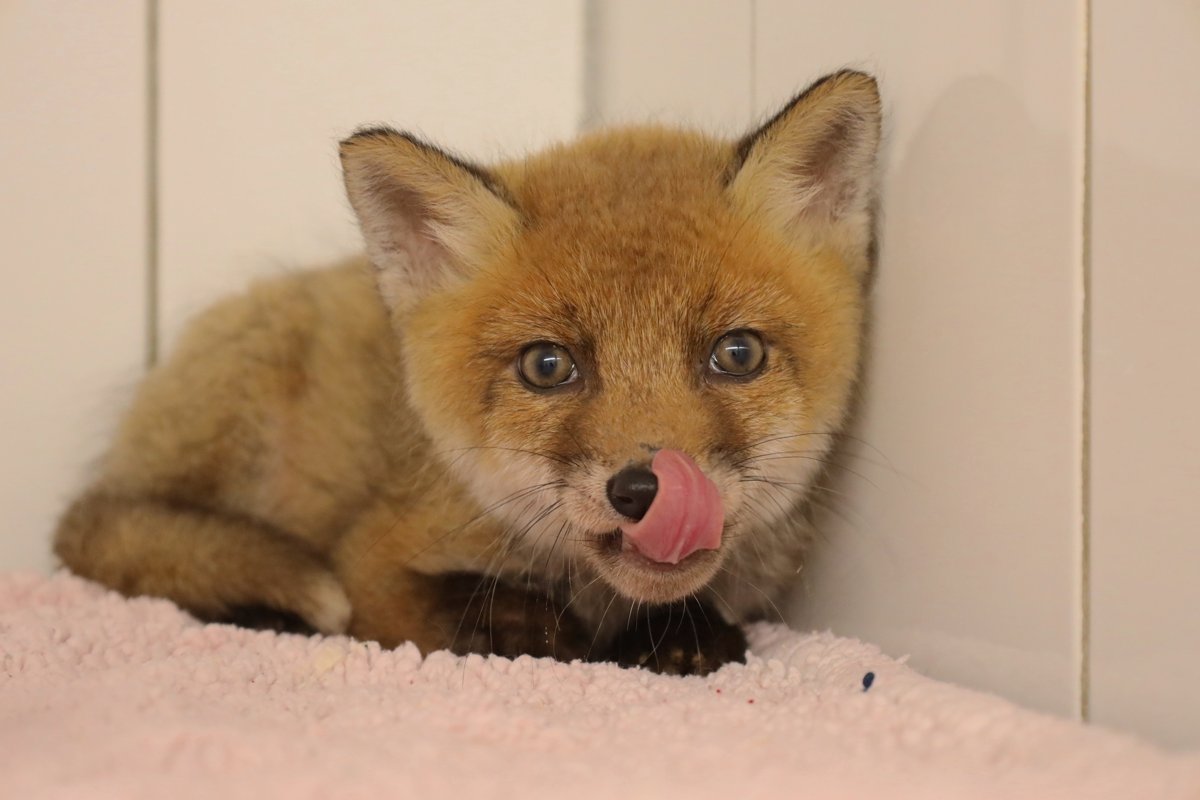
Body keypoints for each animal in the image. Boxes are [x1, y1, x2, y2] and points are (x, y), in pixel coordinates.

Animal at [56, 71, 883, 681]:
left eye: (736, 354)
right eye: (548, 366)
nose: (645, 490)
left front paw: (680, 634)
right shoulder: (372, 564)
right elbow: (465, 610)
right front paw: (543, 629)